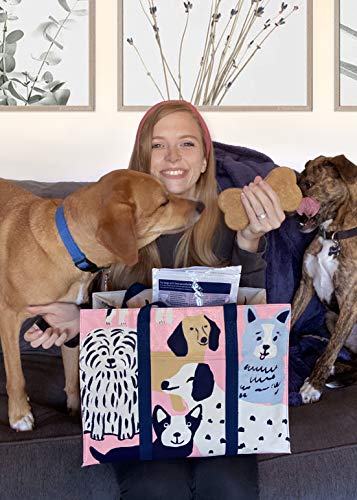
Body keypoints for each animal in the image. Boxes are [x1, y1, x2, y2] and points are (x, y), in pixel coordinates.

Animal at [290, 154, 356, 404]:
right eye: (297, 179)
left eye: (309, 184)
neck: (333, 236)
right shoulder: (305, 286)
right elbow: (290, 317)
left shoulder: (350, 304)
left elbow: (331, 350)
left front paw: (313, 385)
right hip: (329, 317)